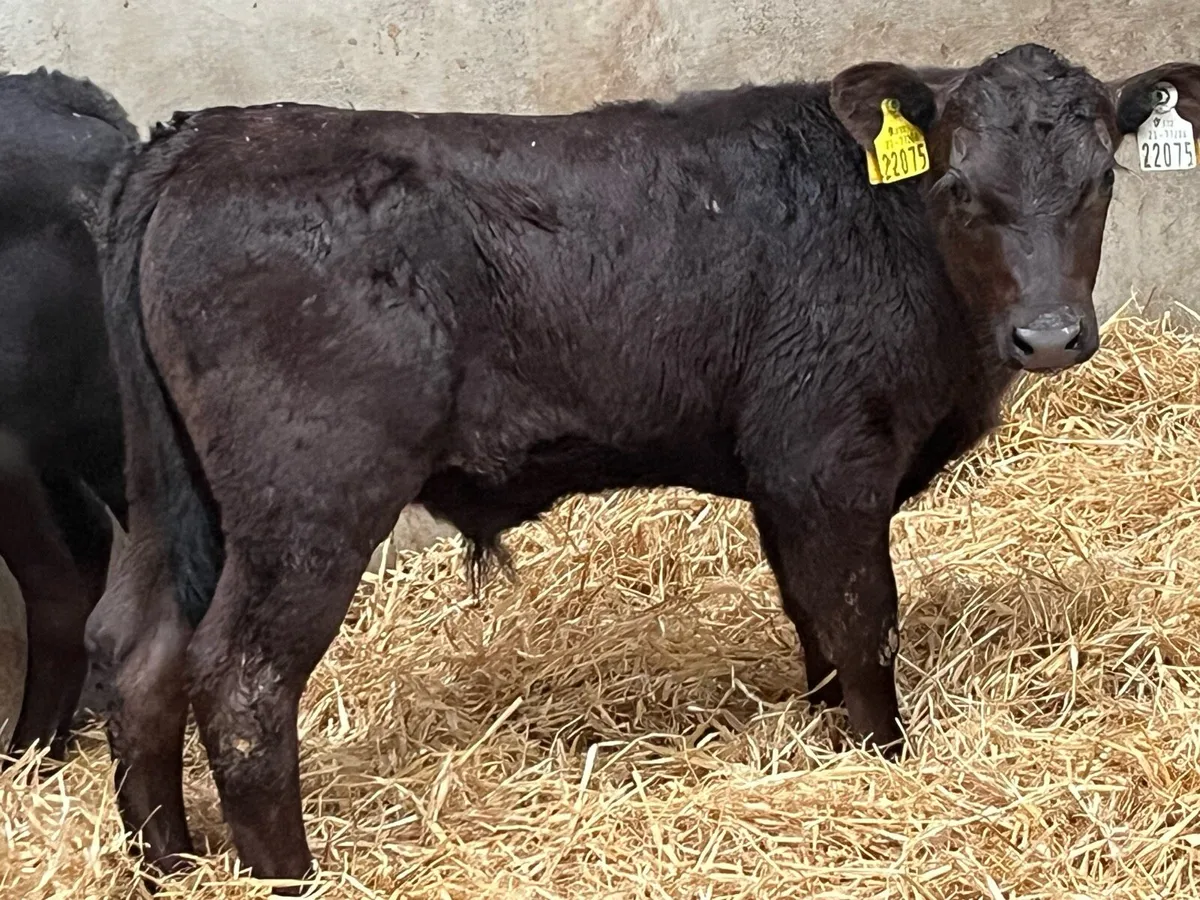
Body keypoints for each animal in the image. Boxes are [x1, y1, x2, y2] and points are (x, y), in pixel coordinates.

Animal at [86, 45, 1200, 889]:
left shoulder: (780, 476)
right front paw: (884, 761)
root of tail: (202, 136)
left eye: (1101, 182)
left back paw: (171, 864)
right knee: (241, 680)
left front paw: (825, 734)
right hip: (309, 496)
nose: (1049, 335)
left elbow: (812, 616)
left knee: (135, 652)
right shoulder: (827, 459)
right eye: (961, 190)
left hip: (163, 495)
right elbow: (861, 618)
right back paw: (290, 874)